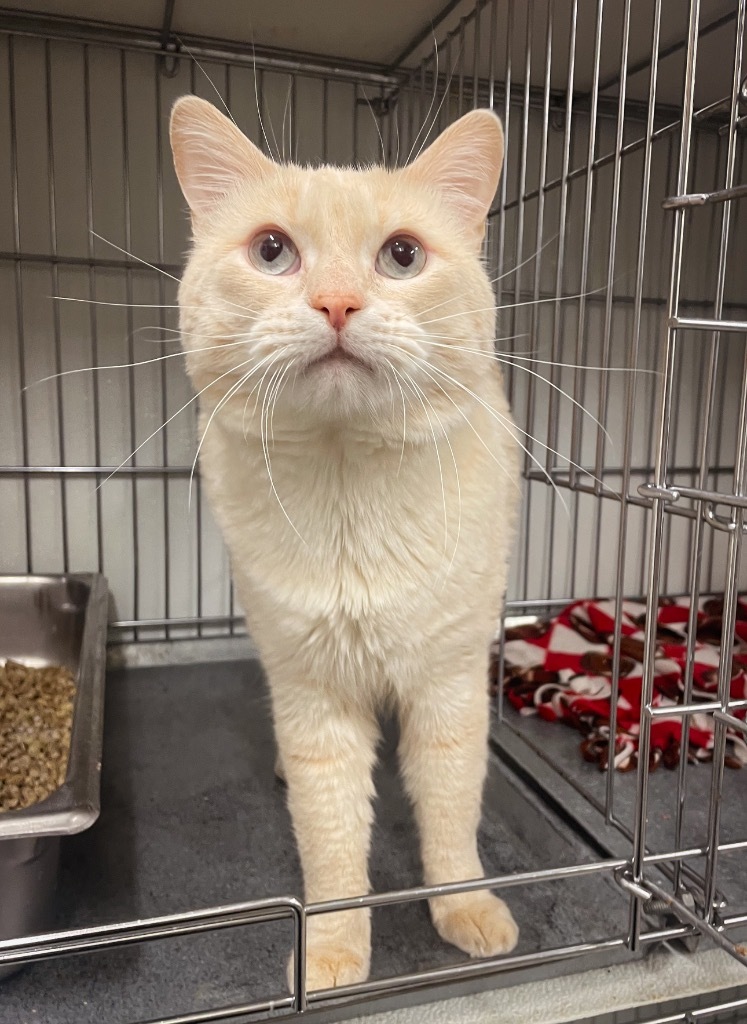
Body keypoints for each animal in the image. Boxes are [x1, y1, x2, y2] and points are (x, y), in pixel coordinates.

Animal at [169, 96, 518, 991]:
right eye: (271, 252)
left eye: (401, 256)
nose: (334, 304)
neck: (350, 492)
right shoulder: (313, 699)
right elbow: (328, 842)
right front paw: (330, 951)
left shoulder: (448, 687)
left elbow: (450, 816)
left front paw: (465, 912)